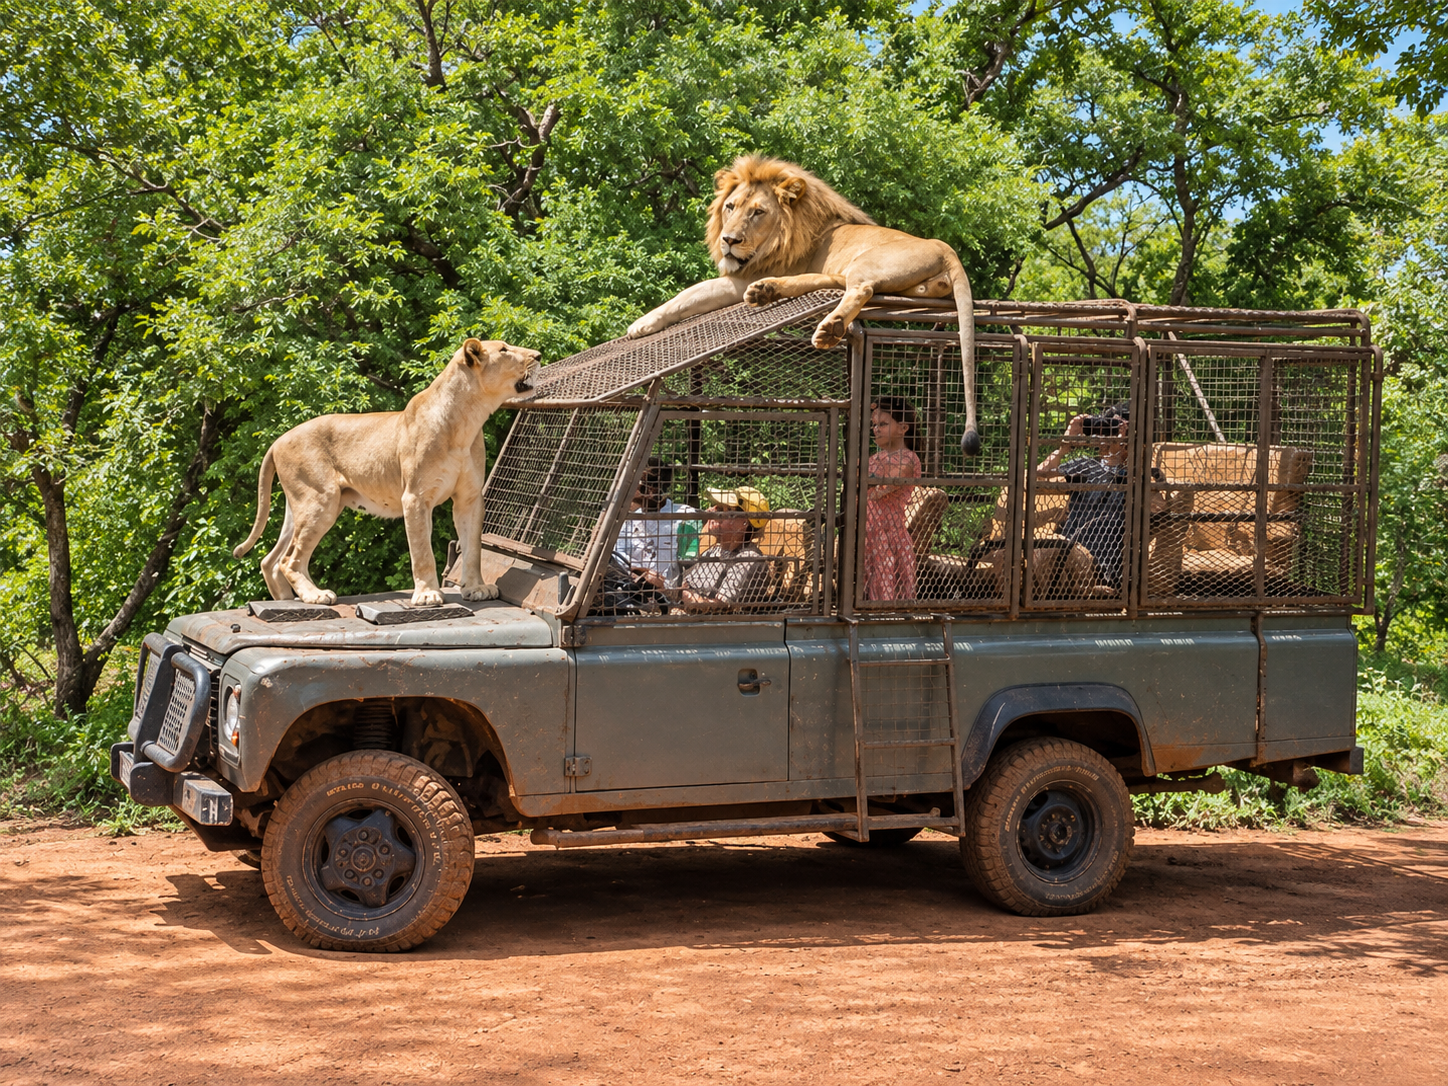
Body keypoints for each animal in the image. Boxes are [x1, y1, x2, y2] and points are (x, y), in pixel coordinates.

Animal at [233, 338, 541, 608]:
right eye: (504, 349)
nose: (538, 355)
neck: (468, 421)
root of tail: (277, 441)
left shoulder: (469, 498)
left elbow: (473, 547)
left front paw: (476, 588)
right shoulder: (415, 497)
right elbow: (422, 551)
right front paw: (428, 595)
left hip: (299, 507)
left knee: (271, 560)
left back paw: (288, 600)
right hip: (320, 500)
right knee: (289, 560)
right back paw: (314, 596)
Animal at [627, 155, 981, 453]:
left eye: (758, 212)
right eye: (730, 207)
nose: (729, 240)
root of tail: (947, 249)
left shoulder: (741, 277)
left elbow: (688, 294)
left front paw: (642, 324)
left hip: (866, 263)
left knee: (860, 289)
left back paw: (827, 328)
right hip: (850, 270)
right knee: (830, 283)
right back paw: (766, 292)